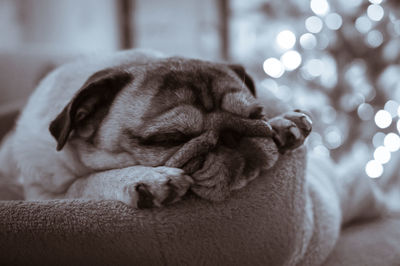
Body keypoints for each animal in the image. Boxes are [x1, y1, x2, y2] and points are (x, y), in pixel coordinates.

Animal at [0, 50, 310, 208]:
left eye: (256, 114)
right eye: (171, 138)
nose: (232, 136)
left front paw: (283, 123)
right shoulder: (41, 195)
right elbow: (82, 183)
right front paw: (144, 178)